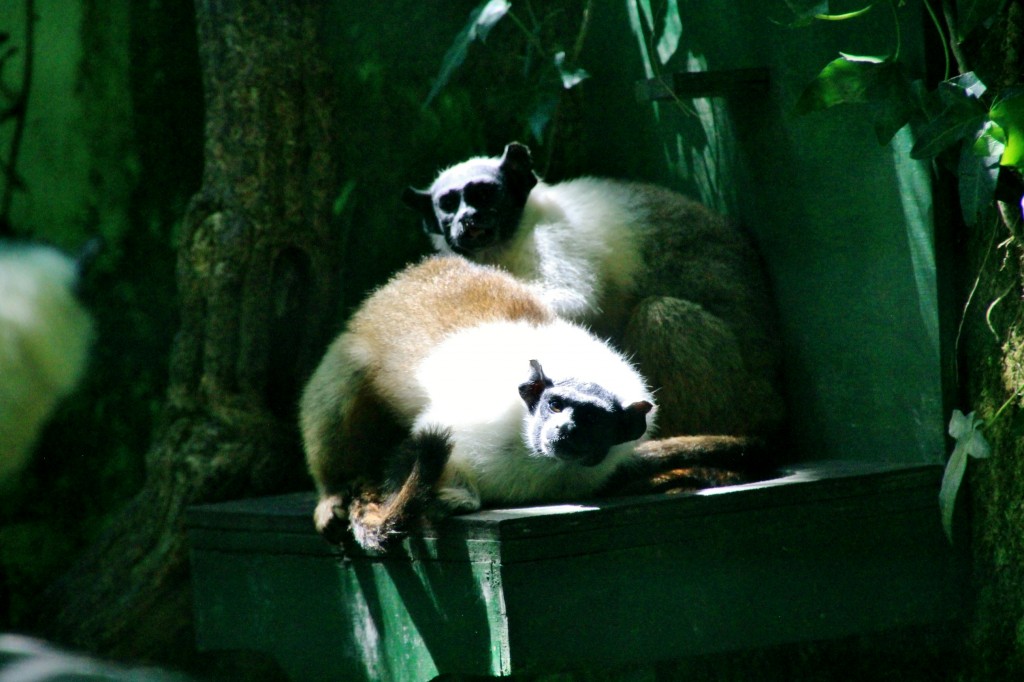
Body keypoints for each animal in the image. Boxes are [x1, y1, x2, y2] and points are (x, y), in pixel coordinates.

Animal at [299, 254, 757, 548]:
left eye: (592, 419)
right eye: (555, 405)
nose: (565, 428)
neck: (540, 458)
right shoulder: (473, 424)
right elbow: (414, 449)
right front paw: (447, 498)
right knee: (347, 375)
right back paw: (334, 491)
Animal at [403, 144, 786, 438]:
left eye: (483, 194)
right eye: (448, 205)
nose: (467, 219)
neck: (505, 247)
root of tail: (772, 398)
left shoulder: (554, 238)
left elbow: (573, 306)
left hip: (743, 394)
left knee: (660, 314)